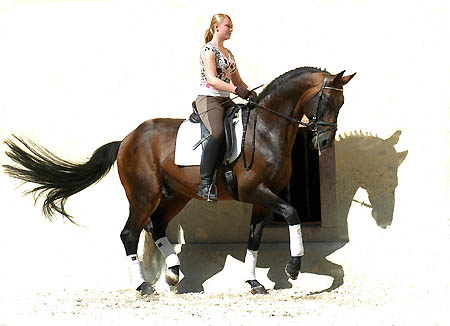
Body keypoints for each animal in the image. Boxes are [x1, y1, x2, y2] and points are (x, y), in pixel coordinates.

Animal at [2, 66, 356, 296]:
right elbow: (294, 214)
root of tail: (127, 139)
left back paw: (173, 273)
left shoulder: (262, 198)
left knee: (156, 225)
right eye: (327, 101)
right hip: (144, 195)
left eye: (342, 103)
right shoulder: (256, 191)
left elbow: (254, 239)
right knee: (130, 233)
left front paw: (254, 283)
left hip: (175, 195)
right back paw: (143, 286)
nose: (324, 142)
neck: (267, 129)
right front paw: (293, 267)